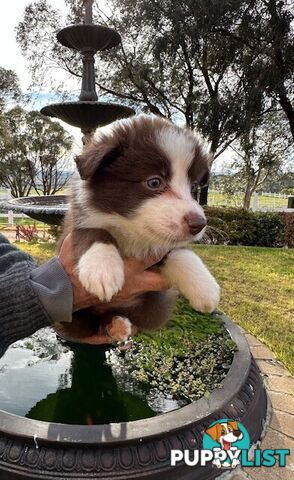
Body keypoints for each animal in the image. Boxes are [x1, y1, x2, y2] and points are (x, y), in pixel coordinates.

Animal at [56, 114, 219, 344]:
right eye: (154, 182)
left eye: (194, 187)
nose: (199, 224)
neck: (131, 231)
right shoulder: (74, 223)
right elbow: (93, 232)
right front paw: (102, 270)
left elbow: (179, 252)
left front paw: (205, 288)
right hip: (70, 315)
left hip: (153, 307)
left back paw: (118, 324)